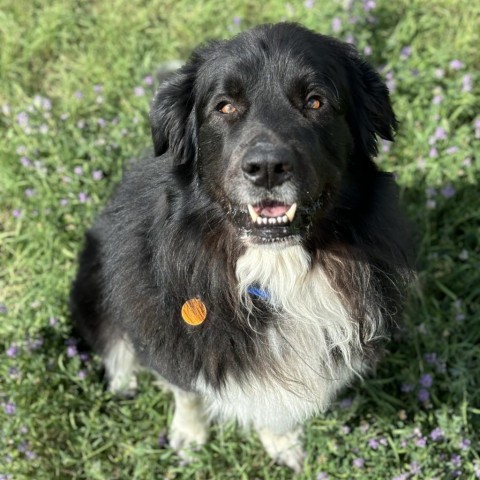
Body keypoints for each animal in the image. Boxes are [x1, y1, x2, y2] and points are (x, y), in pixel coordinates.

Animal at [69, 23, 414, 472]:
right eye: (226, 107)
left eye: (316, 101)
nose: (267, 168)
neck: (274, 267)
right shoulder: (169, 335)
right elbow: (186, 389)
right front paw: (188, 435)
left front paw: (281, 443)